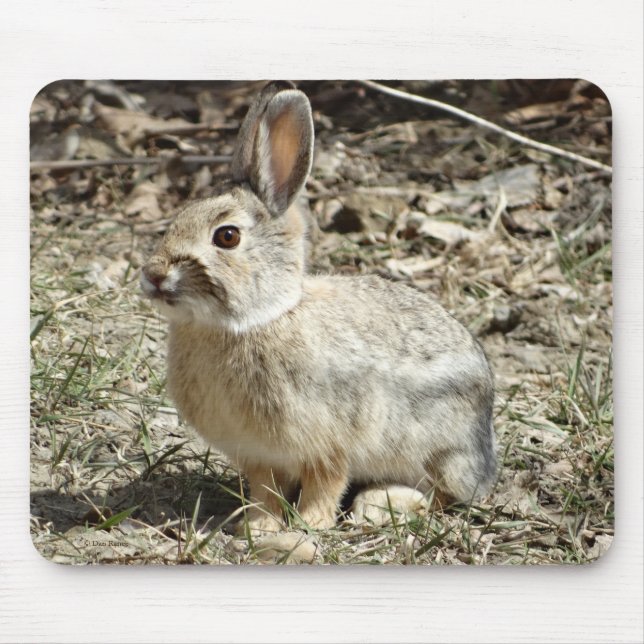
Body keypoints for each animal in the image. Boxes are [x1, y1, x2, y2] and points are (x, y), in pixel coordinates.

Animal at [141, 81, 497, 533]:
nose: (153, 275)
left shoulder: (330, 444)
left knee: (444, 496)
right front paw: (257, 526)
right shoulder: (259, 455)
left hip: (440, 450)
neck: (255, 320)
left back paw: (385, 503)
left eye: (226, 237)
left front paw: (310, 524)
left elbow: (326, 482)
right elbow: (266, 490)